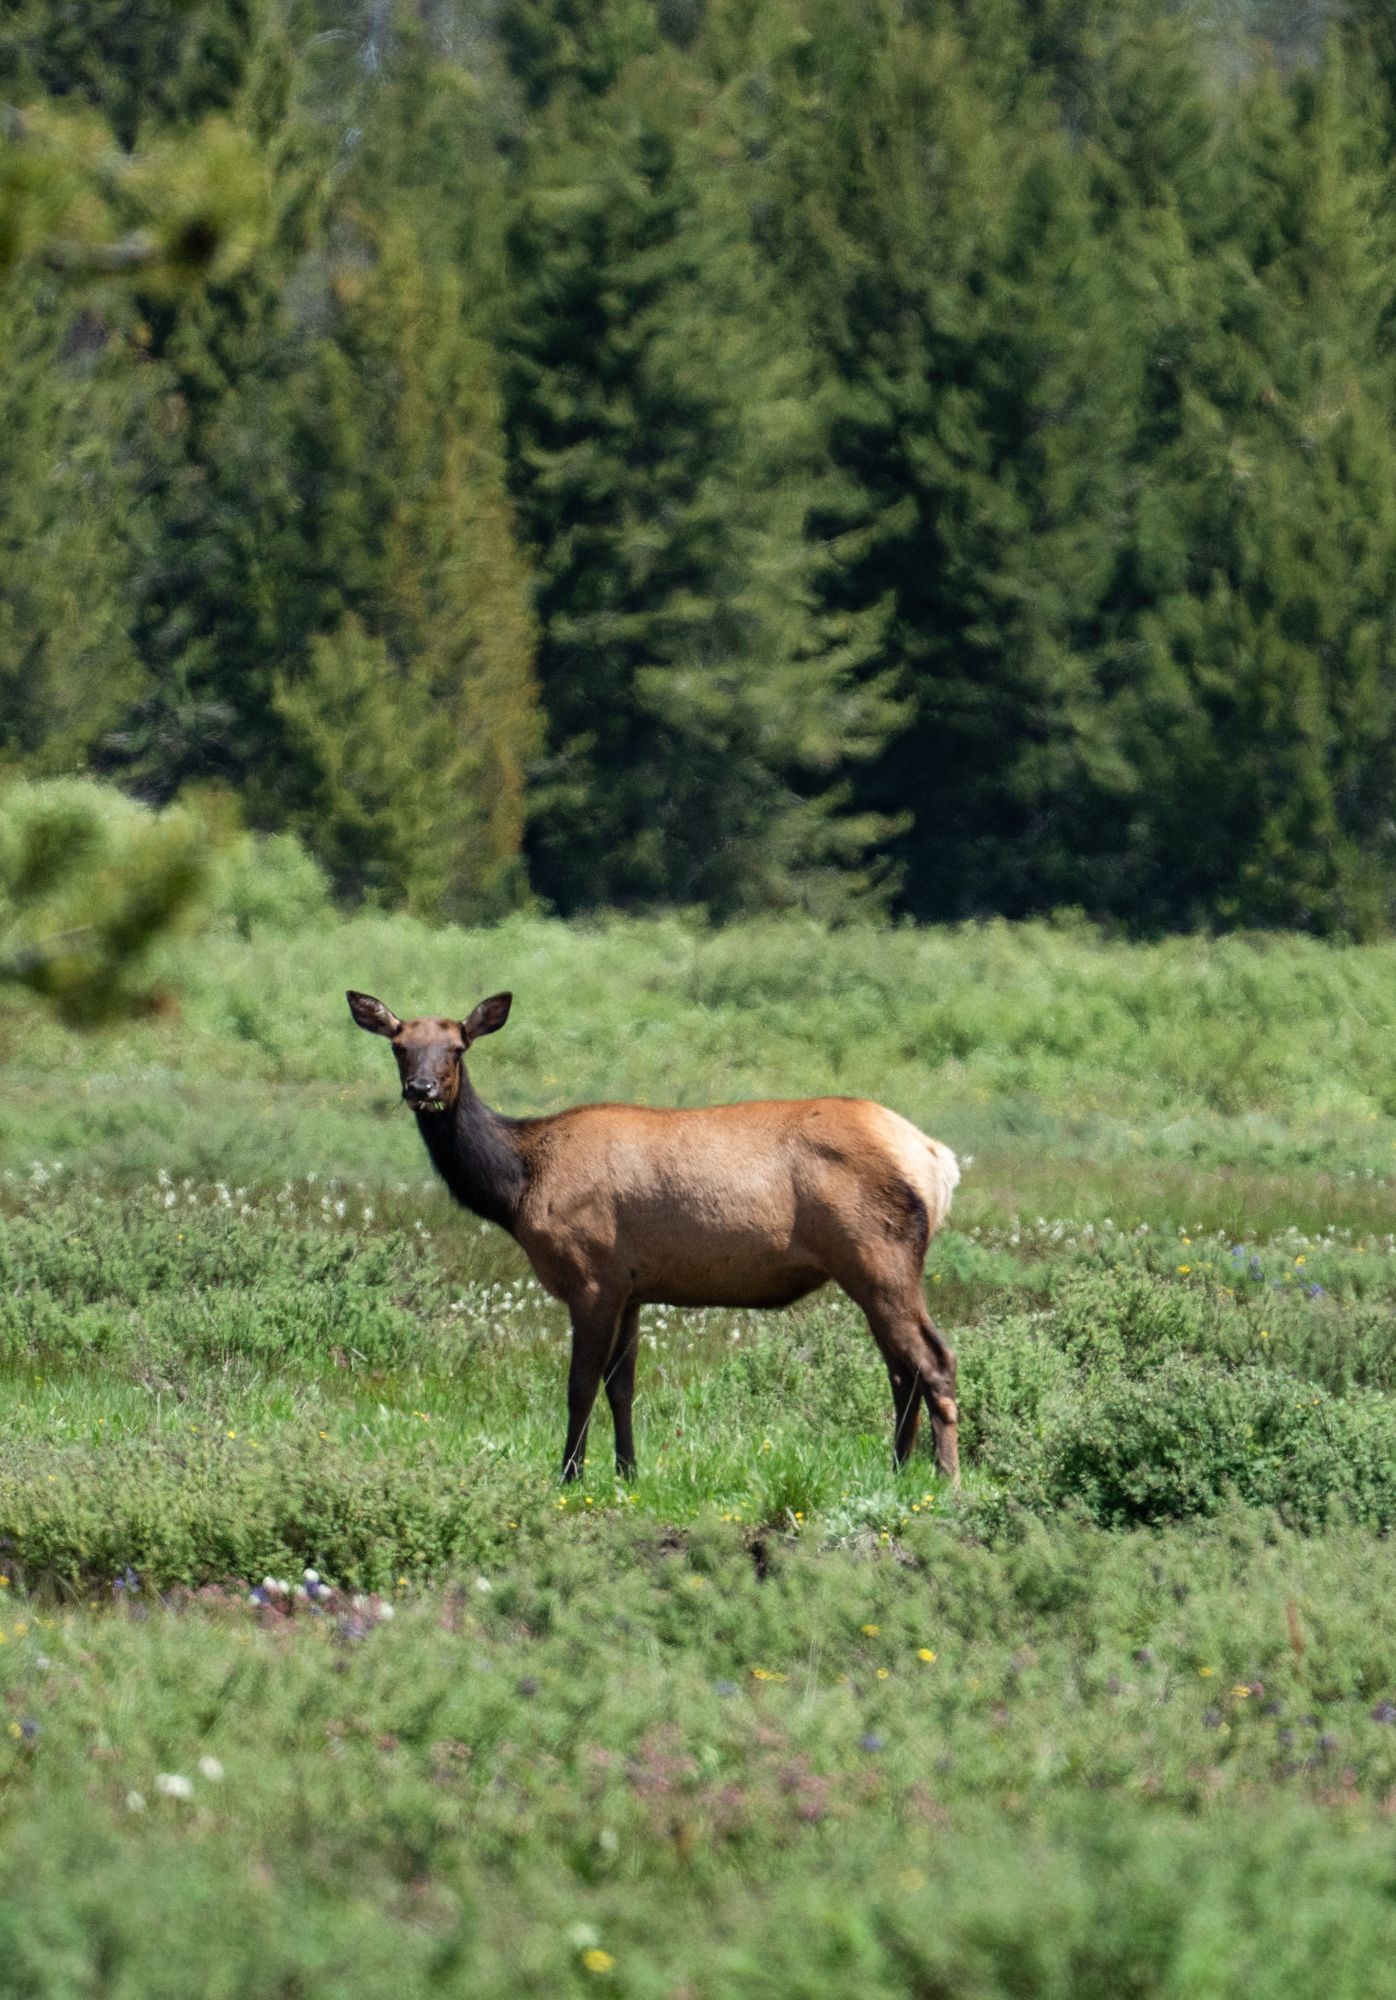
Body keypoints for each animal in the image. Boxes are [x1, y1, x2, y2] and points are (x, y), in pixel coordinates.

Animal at [347, 989, 962, 1485]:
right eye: (399, 1045)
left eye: (458, 1047)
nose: (421, 1088)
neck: (519, 1187)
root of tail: (938, 1159)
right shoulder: (633, 1286)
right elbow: (622, 1386)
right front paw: (628, 1472)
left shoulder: (593, 1274)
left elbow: (579, 1384)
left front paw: (569, 1475)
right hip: (871, 1268)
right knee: (901, 1370)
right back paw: (897, 1470)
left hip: (878, 1255)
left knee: (934, 1360)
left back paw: (945, 1478)